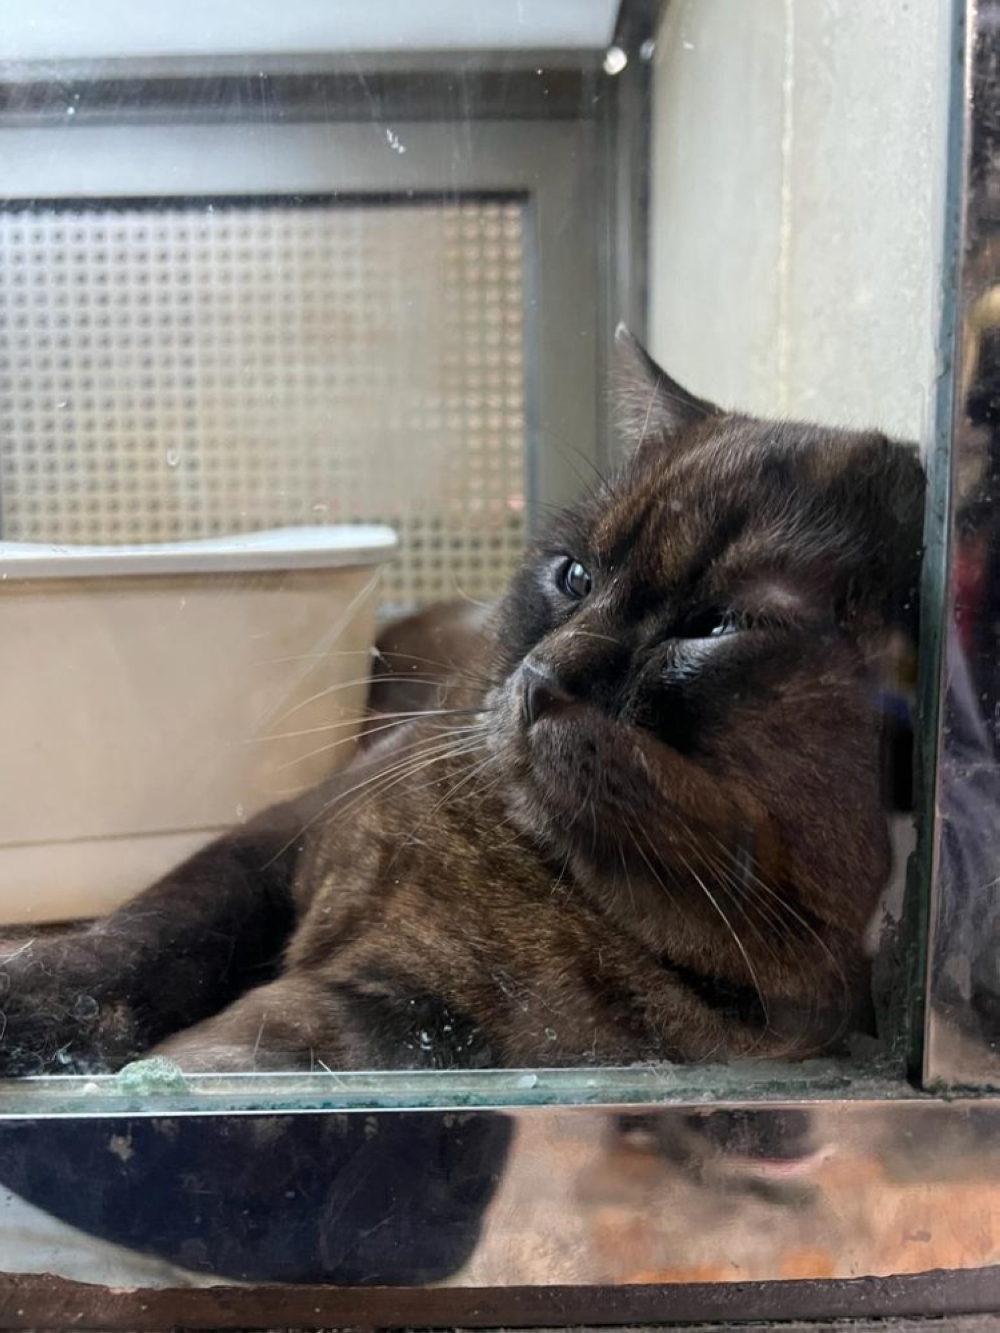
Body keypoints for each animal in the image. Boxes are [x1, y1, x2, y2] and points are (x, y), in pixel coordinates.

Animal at [0, 329, 925, 1076]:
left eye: (719, 627)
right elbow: (142, 938)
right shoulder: (279, 835)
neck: (523, 872)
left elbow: (251, 1049)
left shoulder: (413, 1025)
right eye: (574, 575)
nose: (544, 675)